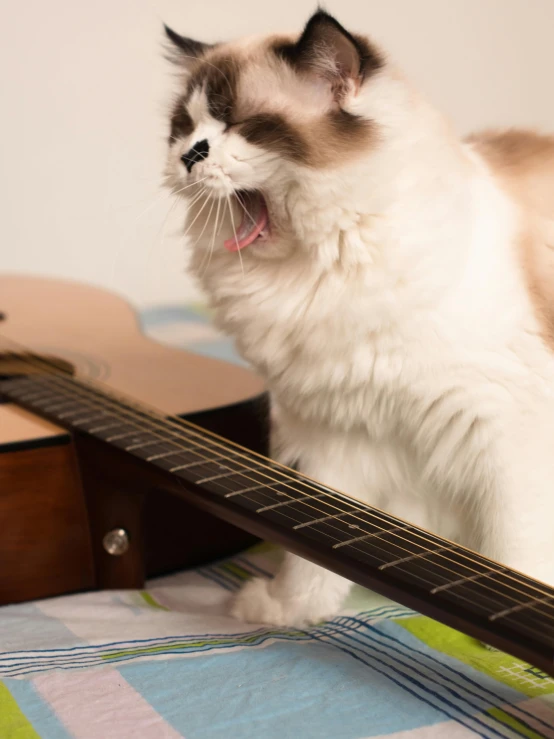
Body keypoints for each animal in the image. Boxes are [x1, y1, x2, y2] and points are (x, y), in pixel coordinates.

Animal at [163, 8, 554, 628]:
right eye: (183, 127)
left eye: (243, 126)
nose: (187, 157)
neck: (315, 271)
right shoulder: (337, 430)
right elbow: (311, 565)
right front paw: (284, 612)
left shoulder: (502, 423)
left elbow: (516, 553)